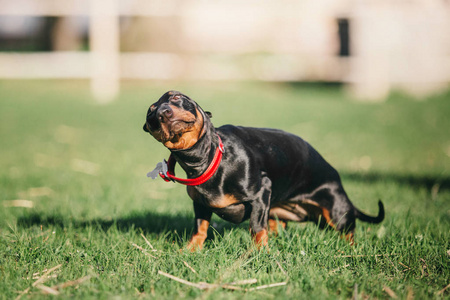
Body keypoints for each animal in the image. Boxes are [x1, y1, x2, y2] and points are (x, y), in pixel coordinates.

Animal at [143, 90, 384, 250]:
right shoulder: (201, 204)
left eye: (175, 97)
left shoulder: (261, 192)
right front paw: (190, 251)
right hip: (278, 213)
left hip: (336, 214)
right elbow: (200, 229)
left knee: (348, 233)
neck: (208, 159)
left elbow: (257, 228)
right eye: (150, 113)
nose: (163, 112)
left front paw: (260, 253)